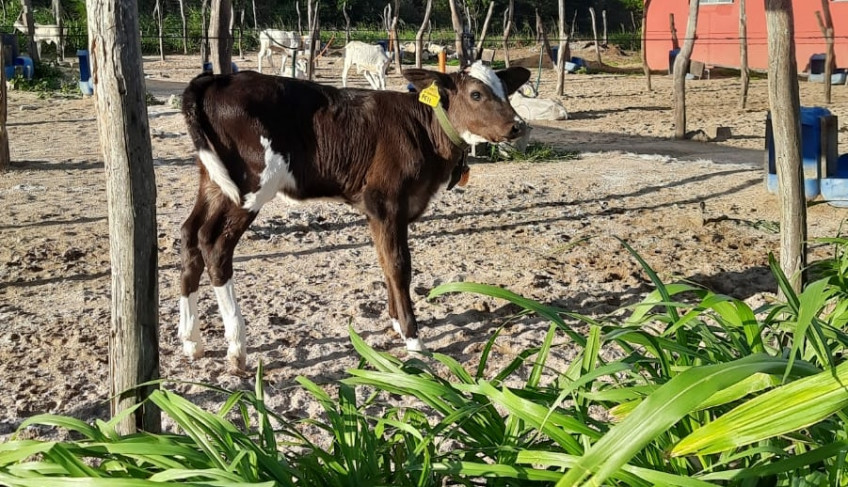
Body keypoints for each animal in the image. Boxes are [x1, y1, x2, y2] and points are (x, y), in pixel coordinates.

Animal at [179, 60, 528, 370]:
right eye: (476, 94)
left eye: (507, 90)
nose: (518, 126)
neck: (425, 132)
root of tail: (219, 78)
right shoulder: (386, 203)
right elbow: (399, 266)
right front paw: (413, 339)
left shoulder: (379, 211)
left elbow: (385, 262)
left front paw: (396, 323)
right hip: (251, 186)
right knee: (214, 245)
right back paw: (237, 348)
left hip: (214, 180)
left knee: (190, 234)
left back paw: (192, 341)